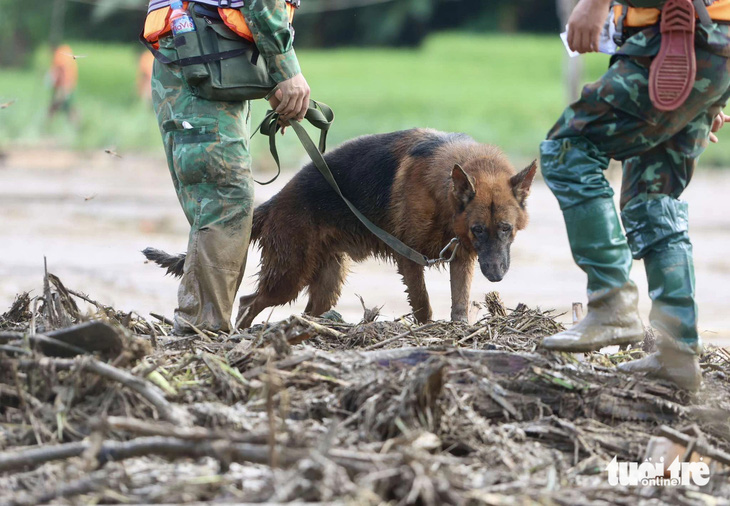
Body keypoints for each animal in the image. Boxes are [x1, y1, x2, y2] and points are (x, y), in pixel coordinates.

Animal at [146, 128, 536, 328]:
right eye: (479, 230)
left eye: (505, 229)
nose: (497, 276)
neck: (443, 193)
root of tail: (277, 200)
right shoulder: (410, 260)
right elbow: (424, 305)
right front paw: (428, 332)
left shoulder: (462, 259)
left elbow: (458, 304)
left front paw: (457, 332)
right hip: (289, 276)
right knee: (247, 301)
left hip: (326, 282)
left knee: (305, 312)